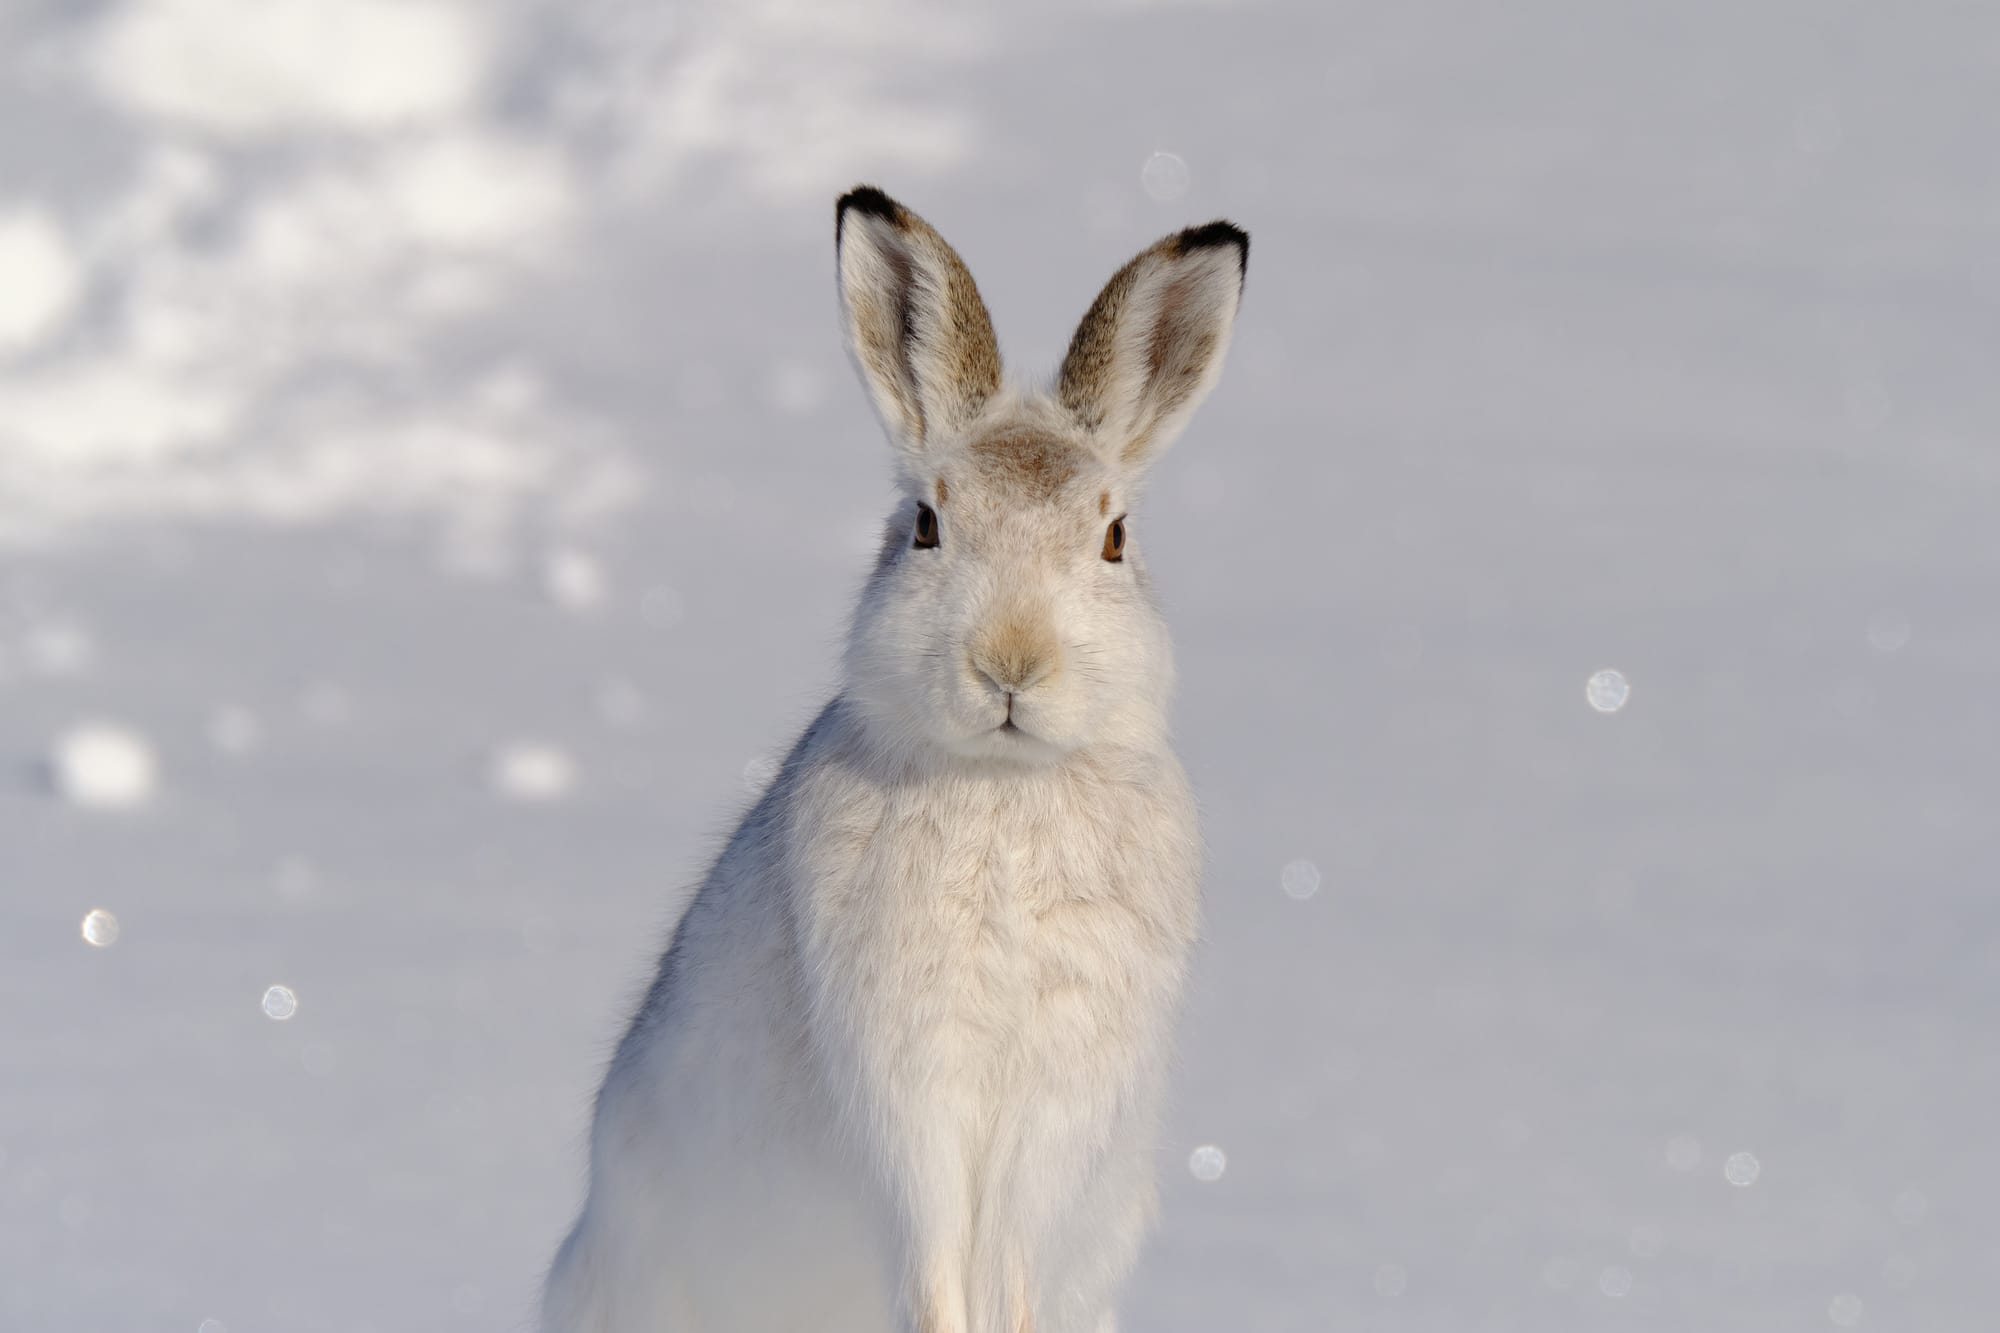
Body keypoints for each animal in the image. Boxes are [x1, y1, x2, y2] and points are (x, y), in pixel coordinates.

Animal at [541, 185, 1248, 1333]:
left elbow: (1008, 1265)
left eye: (1113, 539)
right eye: (924, 525)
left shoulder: (1057, 1093)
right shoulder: (904, 1081)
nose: (1011, 662)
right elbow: (933, 1256)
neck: (1003, 788)